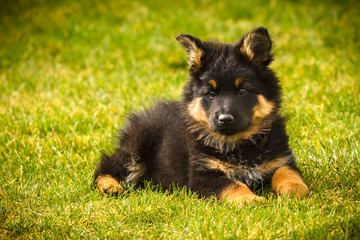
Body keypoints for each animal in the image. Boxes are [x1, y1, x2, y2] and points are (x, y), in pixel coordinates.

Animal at [94, 27, 308, 203]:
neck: (240, 144)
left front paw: (295, 189)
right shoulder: (203, 174)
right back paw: (110, 186)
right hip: (136, 147)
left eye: (242, 91)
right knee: (106, 165)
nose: (225, 119)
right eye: (211, 93)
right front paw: (250, 199)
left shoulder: (280, 160)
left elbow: (288, 173)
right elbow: (233, 185)